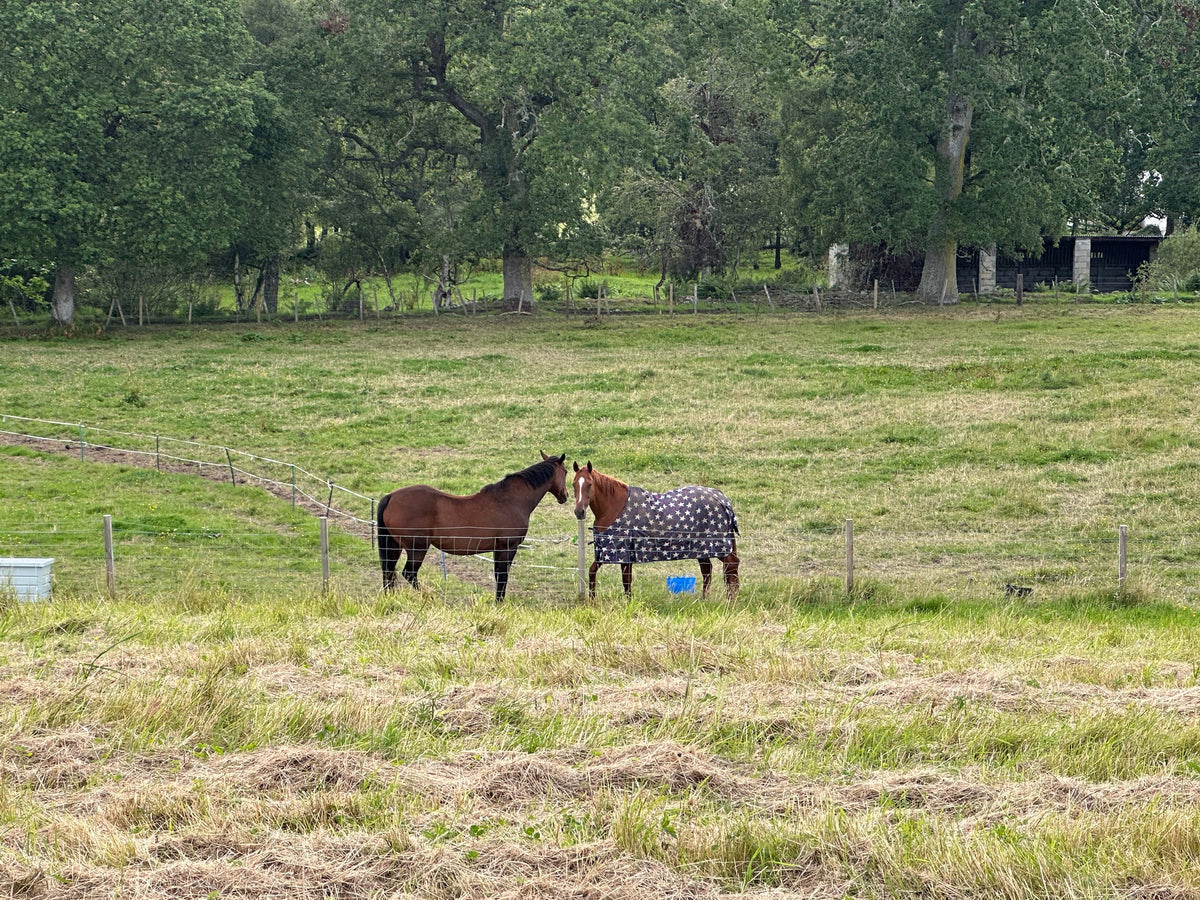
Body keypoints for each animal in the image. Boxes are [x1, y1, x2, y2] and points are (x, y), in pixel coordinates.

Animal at [377, 452, 568, 602]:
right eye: (566, 472)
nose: (565, 496)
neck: (510, 501)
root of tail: (391, 496)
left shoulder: (498, 549)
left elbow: (498, 576)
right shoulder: (507, 547)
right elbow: (502, 577)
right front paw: (499, 604)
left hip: (394, 546)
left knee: (389, 573)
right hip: (417, 548)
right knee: (409, 574)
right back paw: (430, 596)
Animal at [572, 461, 740, 600]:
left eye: (589, 484)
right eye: (574, 484)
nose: (579, 512)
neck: (613, 507)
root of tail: (722, 499)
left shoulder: (621, 551)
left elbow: (626, 581)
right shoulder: (608, 552)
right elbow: (594, 572)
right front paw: (593, 601)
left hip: (717, 546)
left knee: (730, 566)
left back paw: (730, 600)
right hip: (702, 549)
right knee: (708, 571)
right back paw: (705, 600)